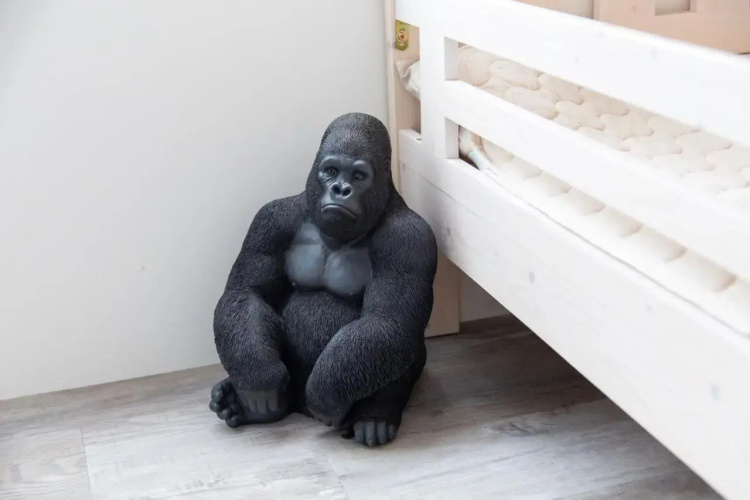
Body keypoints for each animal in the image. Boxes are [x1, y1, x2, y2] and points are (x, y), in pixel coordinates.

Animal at [209, 112, 437, 447]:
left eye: (358, 176)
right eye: (331, 171)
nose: (341, 189)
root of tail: (298, 408)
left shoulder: (410, 239)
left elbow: (387, 321)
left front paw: (326, 398)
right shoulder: (270, 219)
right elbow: (247, 292)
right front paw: (259, 377)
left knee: (398, 342)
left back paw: (376, 414)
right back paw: (246, 405)